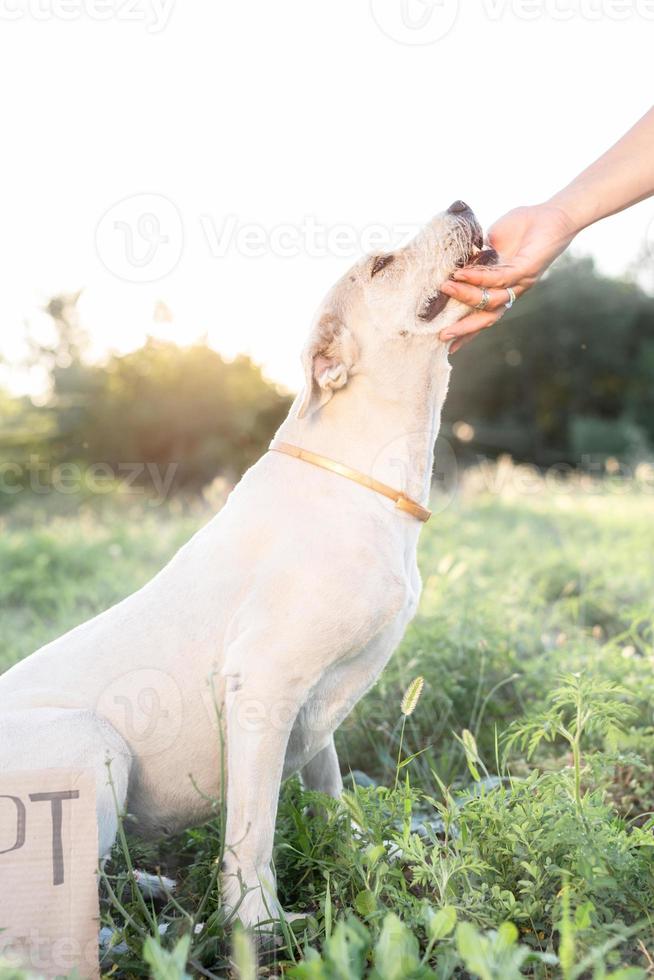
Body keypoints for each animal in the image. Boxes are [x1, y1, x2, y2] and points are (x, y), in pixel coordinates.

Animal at [0, 201, 492, 928]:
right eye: (380, 264)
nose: (461, 204)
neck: (362, 475)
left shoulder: (312, 711)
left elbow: (330, 788)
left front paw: (358, 855)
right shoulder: (263, 684)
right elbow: (253, 828)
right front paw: (259, 925)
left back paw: (145, 885)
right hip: (96, 740)